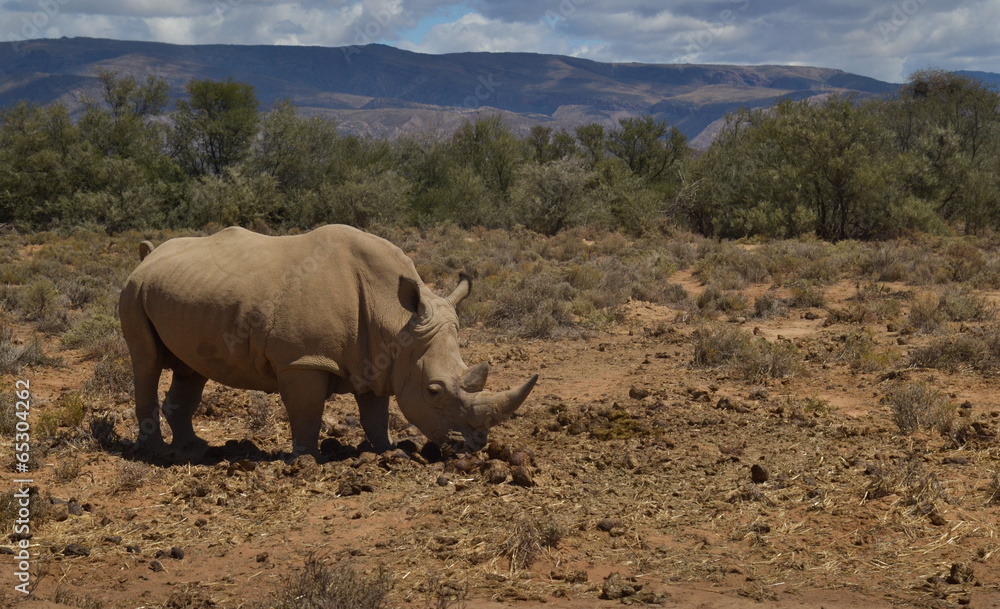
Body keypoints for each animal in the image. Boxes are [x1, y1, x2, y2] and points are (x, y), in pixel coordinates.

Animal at [118, 224, 538, 458]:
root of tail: (148, 256)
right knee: (146, 361)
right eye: (434, 391)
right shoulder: (303, 359)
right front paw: (307, 459)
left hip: (184, 293)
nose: (475, 444)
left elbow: (375, 412)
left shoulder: (380, 359)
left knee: (191, 369)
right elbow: (307, 412)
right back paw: (157, 454)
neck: (396, 319)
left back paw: (193, 450)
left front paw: (386, 451)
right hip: (134, 289)